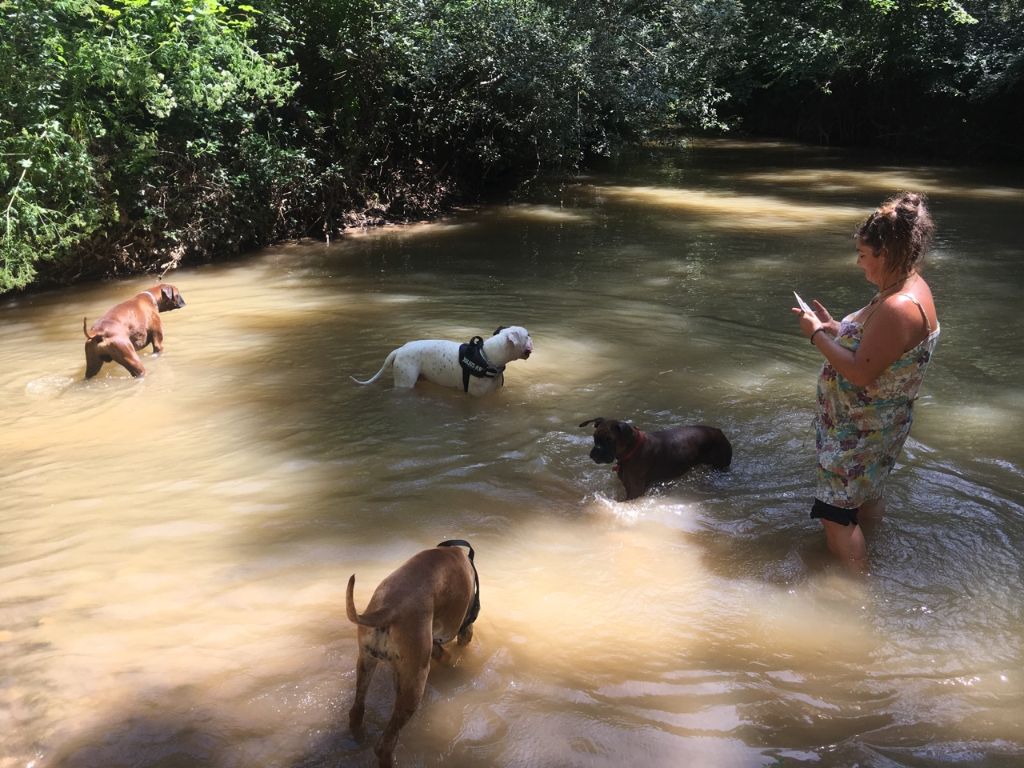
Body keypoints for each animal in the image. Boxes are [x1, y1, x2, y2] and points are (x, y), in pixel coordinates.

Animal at [344, 540, 479, 768]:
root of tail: (390, 607)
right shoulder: (462, 626)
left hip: (366, 663)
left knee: (357, 711)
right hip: (415, 682)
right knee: (385, 744)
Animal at [581, 417, 733, 501]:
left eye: (609, 440)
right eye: (595, 437)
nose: (593, 455)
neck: (632, 449)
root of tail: (719, 431)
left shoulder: (635, 492)